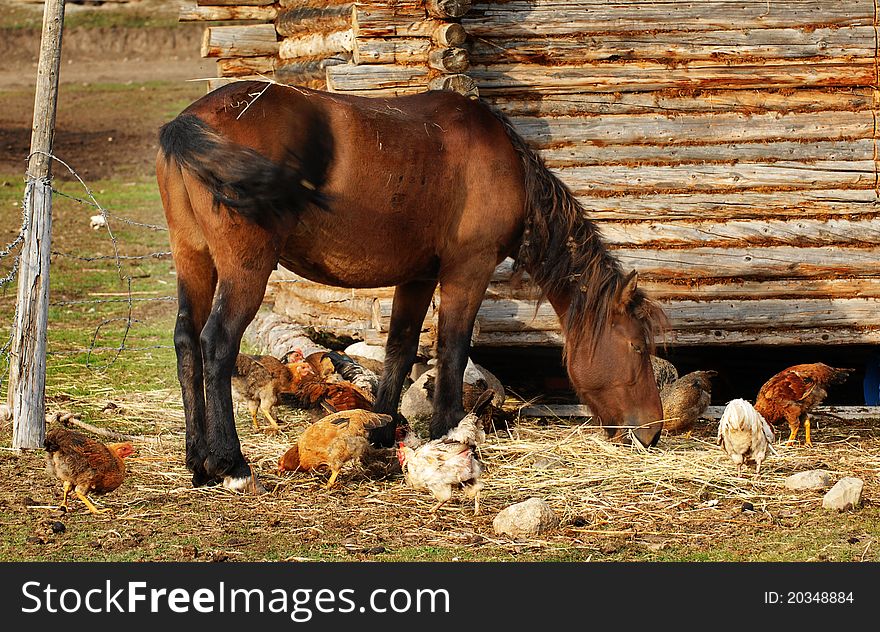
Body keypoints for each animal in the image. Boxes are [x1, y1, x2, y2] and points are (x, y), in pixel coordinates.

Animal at [156, 80, 668, 494]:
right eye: (638, 348)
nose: (653, 431)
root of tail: (187, 122)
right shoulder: (467, 269)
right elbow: (452, 351)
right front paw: (445, 431)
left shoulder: (418, 277)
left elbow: (399, 350)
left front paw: (382, 430)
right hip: (246, 269)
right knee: (216, 344)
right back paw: (231, 464)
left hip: (194, 259)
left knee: (186, 343)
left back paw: (198, 462)